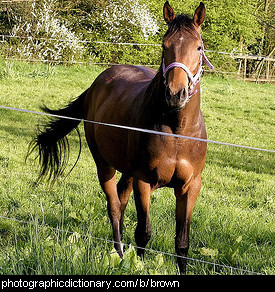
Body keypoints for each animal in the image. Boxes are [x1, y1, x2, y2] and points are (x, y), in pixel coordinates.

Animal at [29, 1, 211, 274]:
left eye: (198, 47)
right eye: (164, 46)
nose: (175, 94)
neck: (177, 132)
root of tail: (96, 85)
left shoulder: (190, 187)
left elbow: (182, 242)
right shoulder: (144, 181)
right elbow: (144, 233)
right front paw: (138, 265)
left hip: (127, 172)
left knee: (121, 202)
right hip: (105, 165)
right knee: (114, 207)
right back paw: (119, 253)